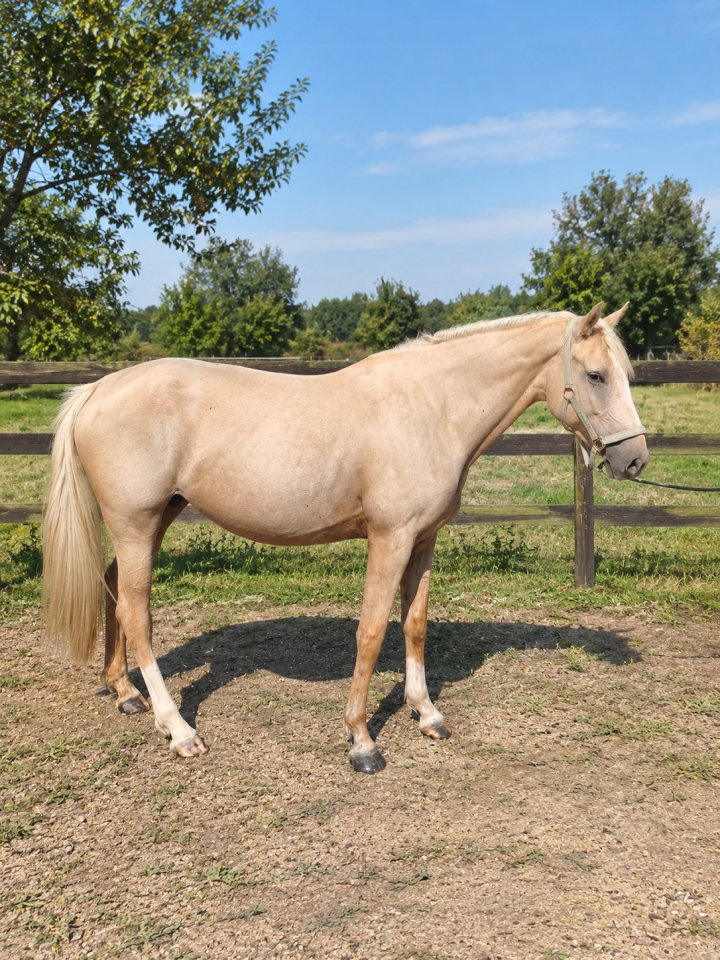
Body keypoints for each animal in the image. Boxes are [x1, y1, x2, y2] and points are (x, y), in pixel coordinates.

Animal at [42, 303, 648, 774]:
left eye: (626, 373)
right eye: (596, 375)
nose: (635, 459)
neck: (431, 407)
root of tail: (98, 387)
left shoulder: (423, 541)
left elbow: (414, 625)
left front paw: (427, 714)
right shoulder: (389, 539)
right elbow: (372, 631)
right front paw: (361, 741)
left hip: (154, 519)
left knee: (115, 590)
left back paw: (124, 693)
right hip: (136, 523)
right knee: (137, 614)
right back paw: (178, 729)